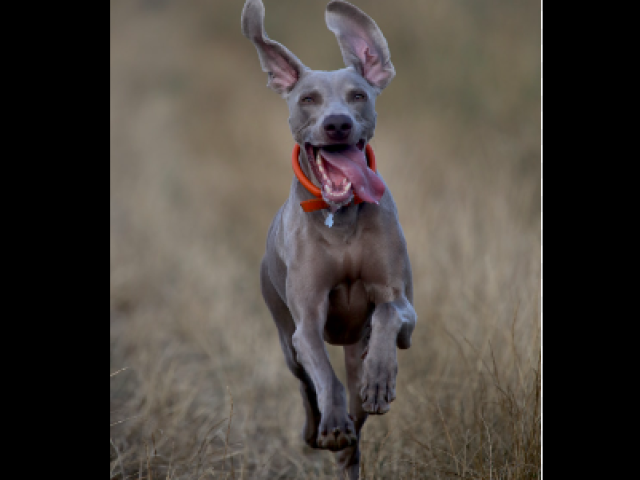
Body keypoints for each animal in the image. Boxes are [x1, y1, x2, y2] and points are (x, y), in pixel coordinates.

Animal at [242, 1, 418, 478]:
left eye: (358, 95)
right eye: (308, 99)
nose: (337, 124)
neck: (341, 218)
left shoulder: (404, 308)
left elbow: (388, 313)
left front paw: (380, 377)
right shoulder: (305, 323)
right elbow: (322, 369)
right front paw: (332, 424)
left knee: (357, 399)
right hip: (285, 338)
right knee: (308, 386)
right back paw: (320, 430)